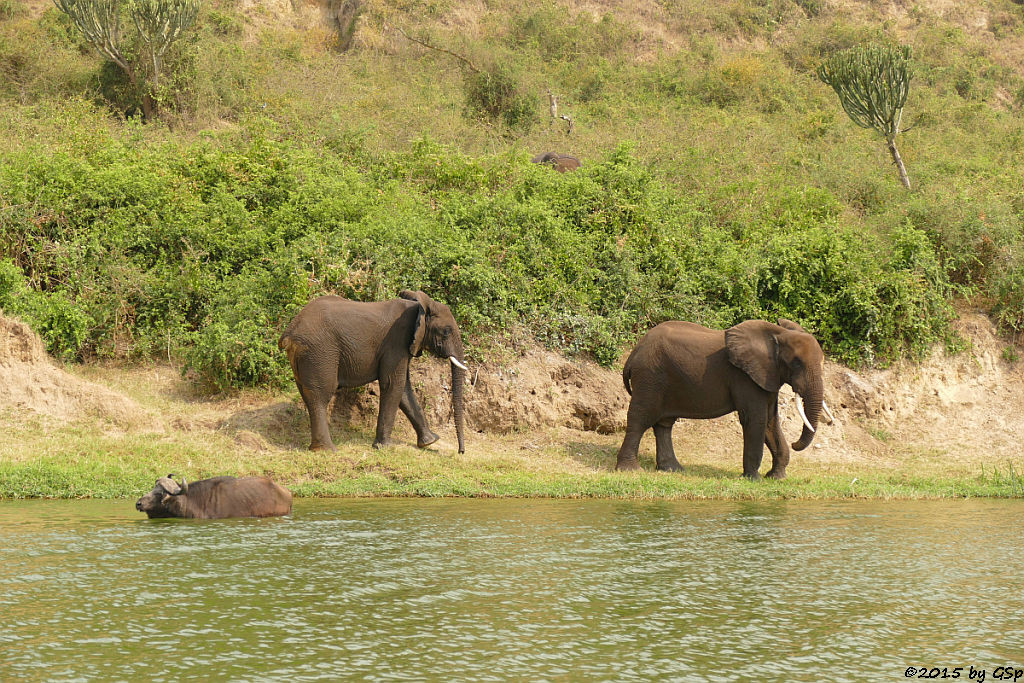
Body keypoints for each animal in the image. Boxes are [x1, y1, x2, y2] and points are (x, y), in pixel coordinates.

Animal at [276, 290, 468, 454]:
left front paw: (430, 441)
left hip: (305, 356)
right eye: (446, 331)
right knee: (320, 396)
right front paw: (384, 447)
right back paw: (327, 450)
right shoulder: (396, 342)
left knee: (308, 395)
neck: (419, 306)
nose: (461, 452)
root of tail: (289, 332)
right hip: (319, 352)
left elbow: (403, 389)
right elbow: (393, 384)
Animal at [614, 317, 831, 479]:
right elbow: (756, 419)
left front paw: (777, 477)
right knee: (640, 418)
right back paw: (631, 470)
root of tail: (634, 353)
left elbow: (770, 421)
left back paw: (673, 470)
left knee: (664, 424)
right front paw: (753, 478)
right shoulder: (744, 377)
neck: (778, 334)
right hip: (650, 376)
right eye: (796, 363)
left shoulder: (768, 375)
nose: (795, 444)